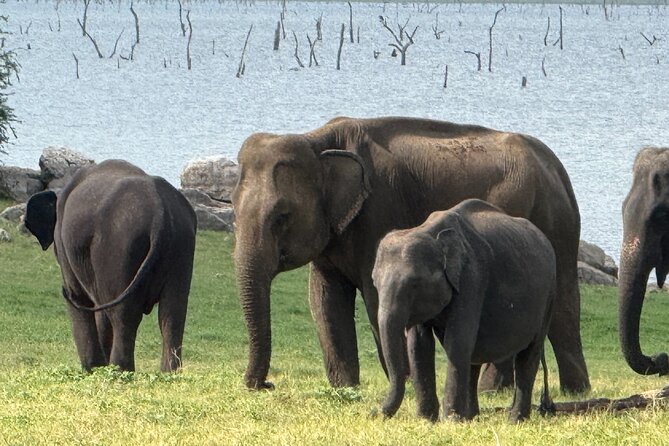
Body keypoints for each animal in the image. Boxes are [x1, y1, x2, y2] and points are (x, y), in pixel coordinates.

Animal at [25, 159, 197, 373]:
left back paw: (119, 370)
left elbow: (80, 298)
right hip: (181, 246)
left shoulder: (65, 244)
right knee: (173, 310)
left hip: (120, 246)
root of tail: (160, 214)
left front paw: (92, 369)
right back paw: (169, 373)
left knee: (122, 313)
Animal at [231, 116, 589, 393]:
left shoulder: (381, 211)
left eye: (282, 217)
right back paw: (573, 389)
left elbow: (376, 298)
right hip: (557, 223)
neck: (316, 139)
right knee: (564, 302)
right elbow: (323, 298)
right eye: (232, 209)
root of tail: (556, 168)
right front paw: (346, 388)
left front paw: (400, 380)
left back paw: (493, 389)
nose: (264, 384)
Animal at [372, 199, 555, 423]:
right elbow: (419, 344)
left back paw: (515, 420)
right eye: (375, 283)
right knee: (474, 355)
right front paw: (426, 420)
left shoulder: (472, 277)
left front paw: (450, 421)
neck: (430, 231)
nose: (374, 413)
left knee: (528, 354)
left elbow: (457, 339)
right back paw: (472, 417)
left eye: (414, 284)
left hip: (548, 296)